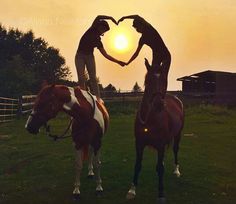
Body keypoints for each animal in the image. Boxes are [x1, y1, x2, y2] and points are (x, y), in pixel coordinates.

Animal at [127, 58, 184, 201]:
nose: (159, 104)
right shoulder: (139, 144)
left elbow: (160, 168)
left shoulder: (160, 144)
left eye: (164, 80)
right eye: (148, 80)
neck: (150, 119)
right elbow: (138, 165)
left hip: (178, 135)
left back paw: (176, 170)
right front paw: (132, 190)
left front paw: (161, 193)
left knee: (175, 150)